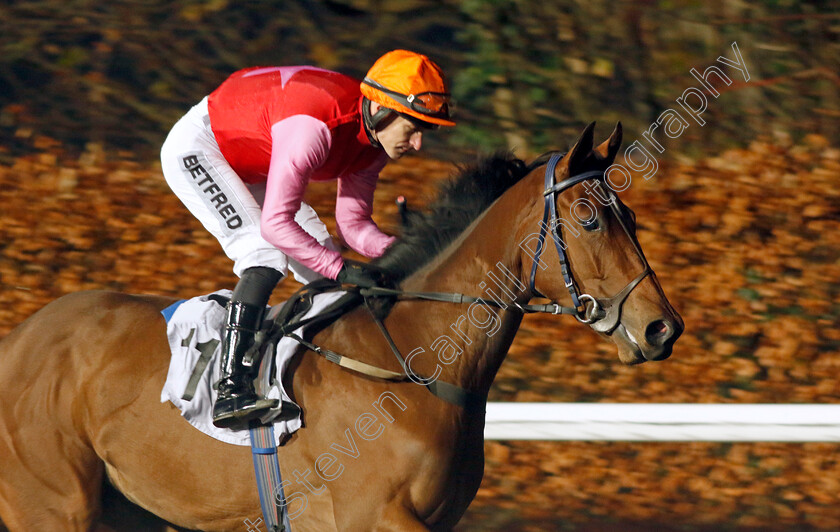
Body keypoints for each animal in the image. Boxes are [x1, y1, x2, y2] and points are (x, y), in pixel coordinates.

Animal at [0, 121, 684, 532]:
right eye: (591, 218)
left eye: (629, 216)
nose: (662, 328)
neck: (414, 366)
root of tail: (17, 340)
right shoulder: (371, 515)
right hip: (54, 506)